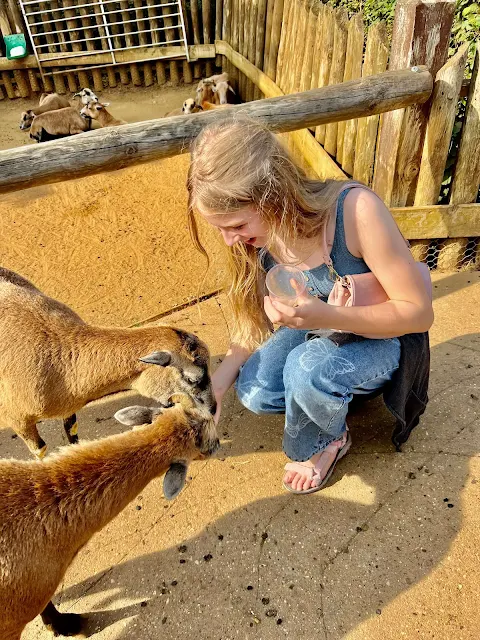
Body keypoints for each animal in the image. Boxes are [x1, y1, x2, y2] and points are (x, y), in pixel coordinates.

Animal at [0, 268, 216, 458]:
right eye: (192, 379)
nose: (212, 409)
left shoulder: (68, 410)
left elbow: (73, 434)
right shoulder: (19, 421)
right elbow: (40, 450)